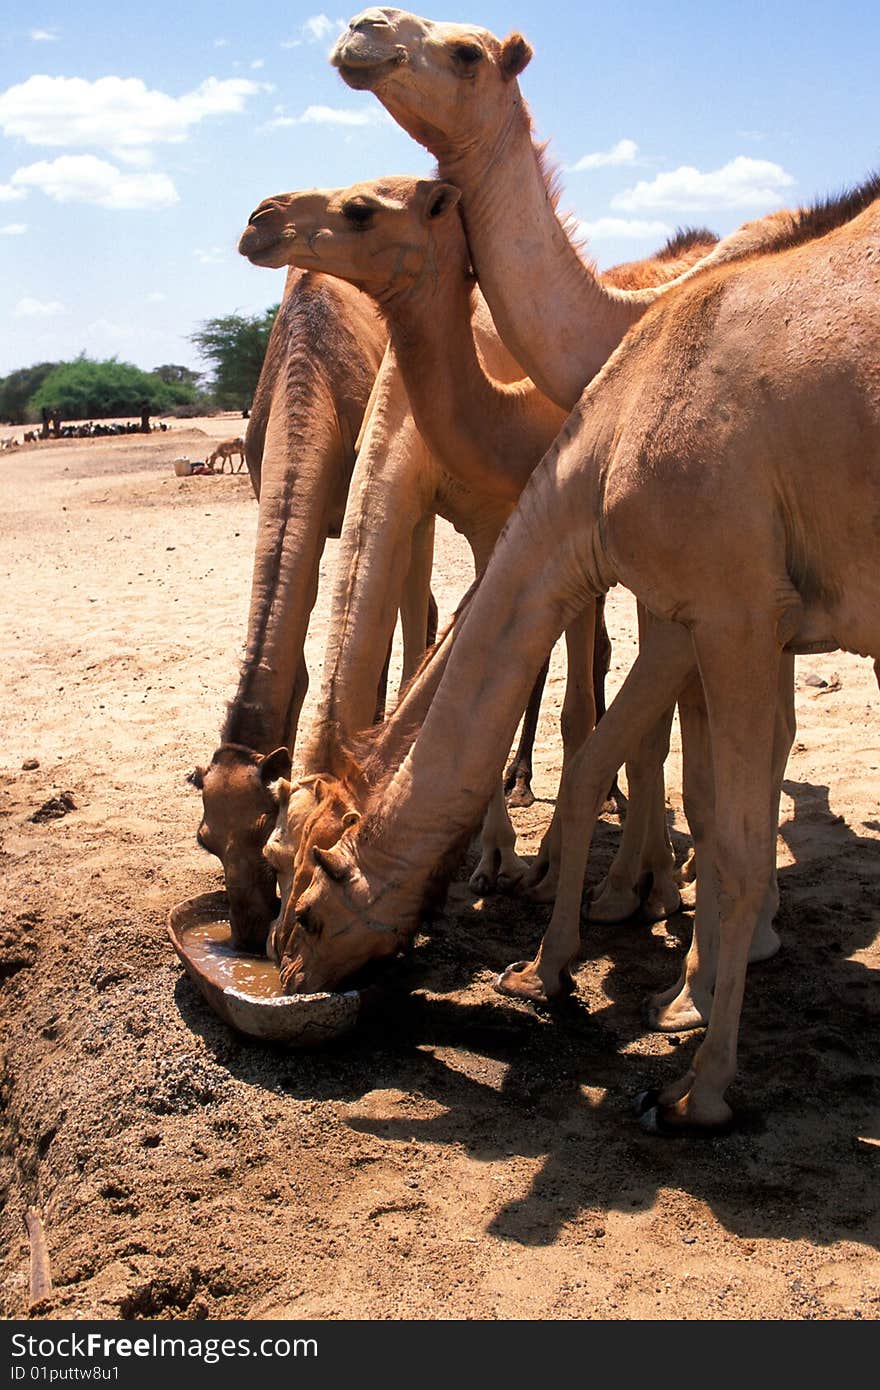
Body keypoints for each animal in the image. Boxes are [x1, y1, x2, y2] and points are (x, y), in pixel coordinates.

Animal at [271, 173, 873, 1134]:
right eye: (267, 864)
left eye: (315, 912)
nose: (284, 971)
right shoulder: (667, 600)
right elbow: (614, 753)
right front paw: (559, 934)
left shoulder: (724, 602)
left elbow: (686, 790)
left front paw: (691, 1053)